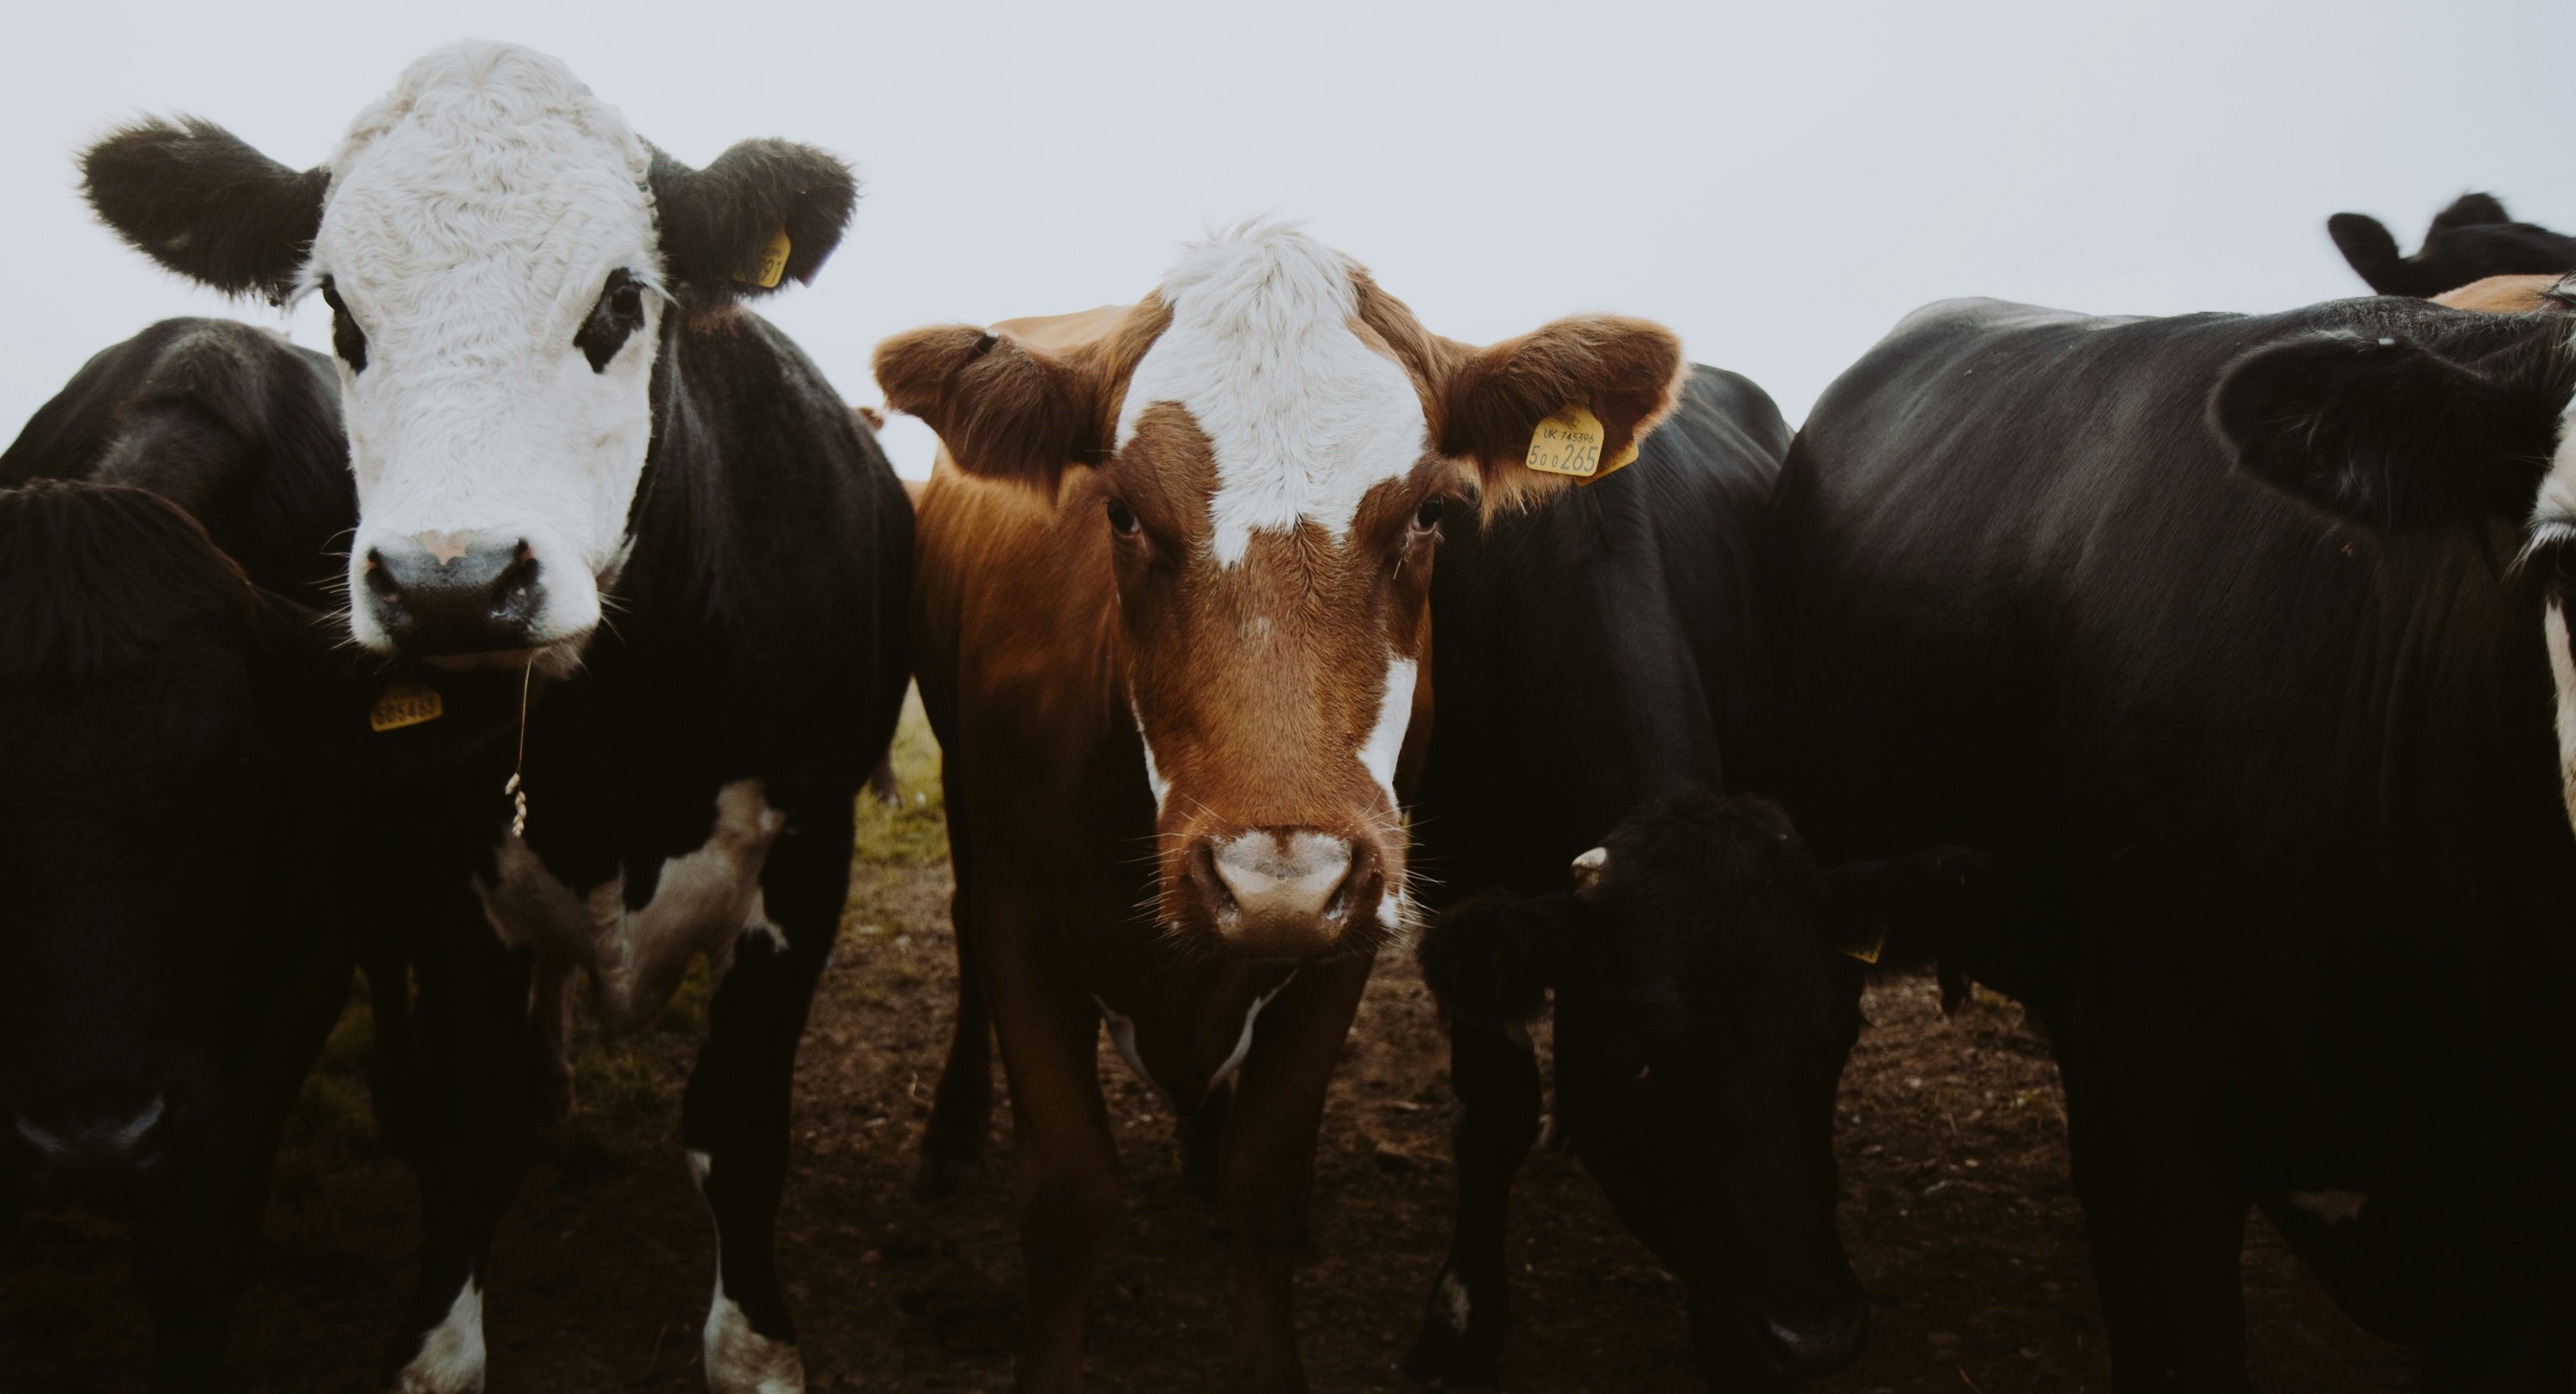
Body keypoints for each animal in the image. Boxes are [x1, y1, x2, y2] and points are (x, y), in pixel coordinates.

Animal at [75, 42, 911, 1393]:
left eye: (618, 302)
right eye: (341, 314)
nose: (449, 583)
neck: (617, 749)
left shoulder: (812, 841)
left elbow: (737, 1124)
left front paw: (754, 1342)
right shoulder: (444, 868)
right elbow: (470, 1133)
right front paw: (437, 1343)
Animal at [877, 220, 1697, 1391]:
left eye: (1431, 513)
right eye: (1119, 511)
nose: (1277, 881)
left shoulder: (1346, 941)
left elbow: (1266, 1176)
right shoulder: (1019, 914)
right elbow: (1068, 1197)